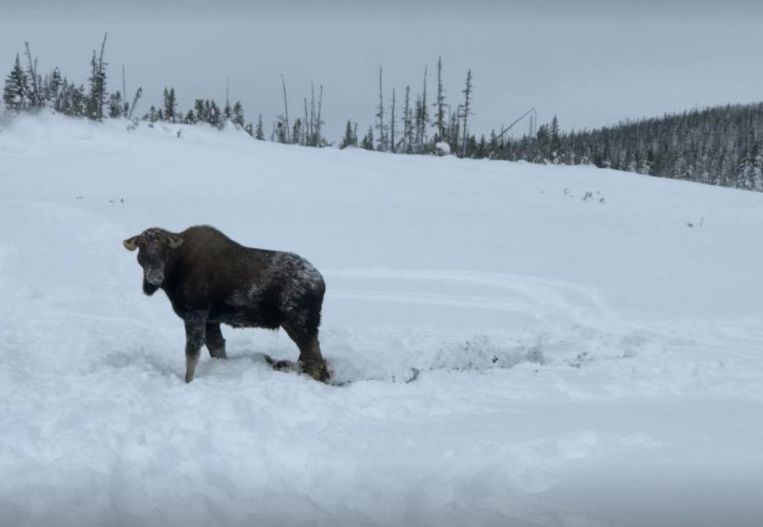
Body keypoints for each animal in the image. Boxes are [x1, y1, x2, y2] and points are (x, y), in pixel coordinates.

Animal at [124, 226, 330, 384]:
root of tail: (321, 283)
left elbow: (192, 354)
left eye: (164, 248)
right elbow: (217, 349)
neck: (174, 273)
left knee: (317, 363)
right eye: (141, 247)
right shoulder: (211, 320)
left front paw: (188, 382)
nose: (155, 276)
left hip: (299, 323)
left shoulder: (195, 314)